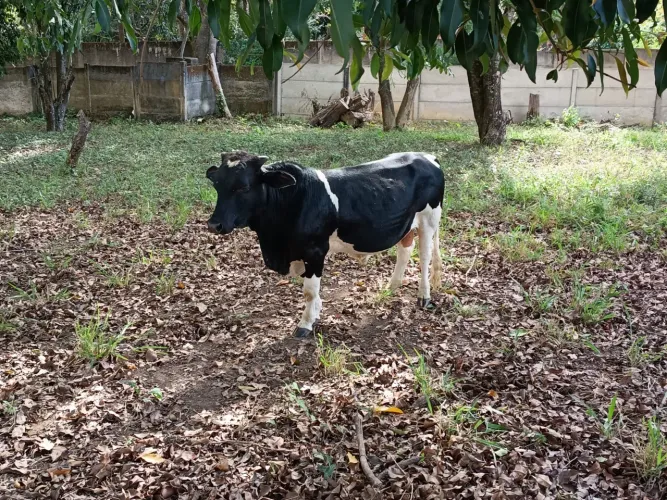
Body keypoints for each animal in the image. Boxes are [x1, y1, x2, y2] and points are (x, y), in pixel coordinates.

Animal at [206, 150, 445, 338]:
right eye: (216, 184)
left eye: (243, 187)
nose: (214, 224)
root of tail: (426, 156)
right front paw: (316, 313)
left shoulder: (315, 251)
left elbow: (309, 291)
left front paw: (306, 323)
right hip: (407, 224)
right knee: (405, 250)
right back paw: (392, 287)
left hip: (429, 219)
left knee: (424, 257)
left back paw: (423, 296)